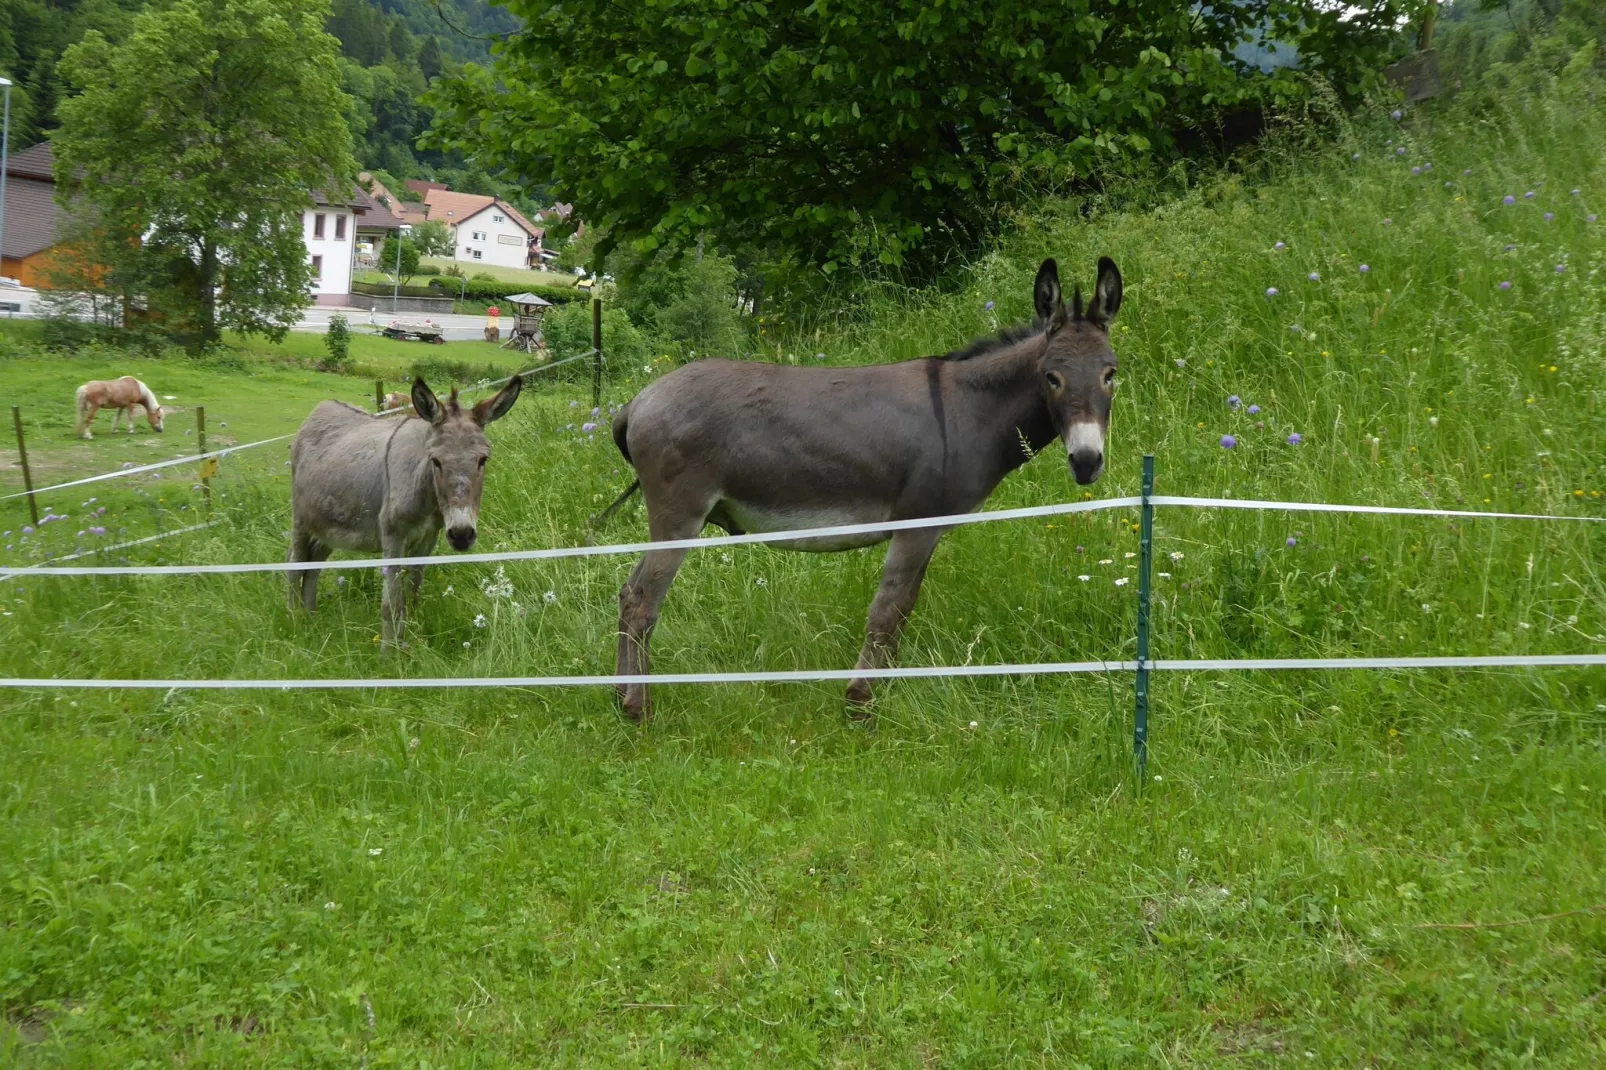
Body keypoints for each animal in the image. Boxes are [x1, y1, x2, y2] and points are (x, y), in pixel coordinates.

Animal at [282, 374, 520, 642]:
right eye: (435, 461)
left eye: (483, 459)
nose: (461, 535)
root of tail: (320, 408)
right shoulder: (393, 538)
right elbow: (391, 605)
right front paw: (391, 651)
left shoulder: (428, 538)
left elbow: (413, 594)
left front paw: (412, 643)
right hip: (301, 520)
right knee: (294, 565)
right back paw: (295, 622)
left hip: (328, 527)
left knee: (312, 566)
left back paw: (310, 619)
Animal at [607, 257, 1124, 716]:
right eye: (1052, 378)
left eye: (1110, 374)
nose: (1086, 462)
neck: (967, 411)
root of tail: (640, 400)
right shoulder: (916, 526)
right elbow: (886, 610)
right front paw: (859, 703)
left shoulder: (928, 529)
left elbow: (904, 610)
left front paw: (882, 692)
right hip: (679, 515)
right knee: (643, 601)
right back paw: (638, 708)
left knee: (627, 592)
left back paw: (618, 695)